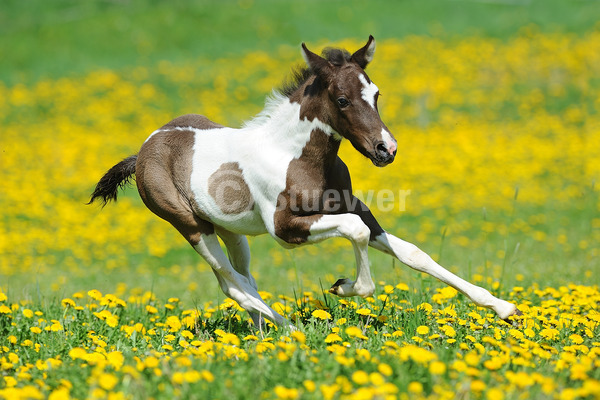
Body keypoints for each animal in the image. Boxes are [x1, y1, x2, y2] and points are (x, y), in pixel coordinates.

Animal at [90, 36, 520, 328]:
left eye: (376, 93)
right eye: (343, 100)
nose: (386, 149)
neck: (297, 158)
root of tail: (146, 149)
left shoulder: (353, 205)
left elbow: (411, 252)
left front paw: (502, 307)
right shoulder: (286, 229)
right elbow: (355, 232)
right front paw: (345, 286)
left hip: (231, 231)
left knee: (242, 277)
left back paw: (263, 333)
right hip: (191, 226)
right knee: (231, 284)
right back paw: (290, 331)